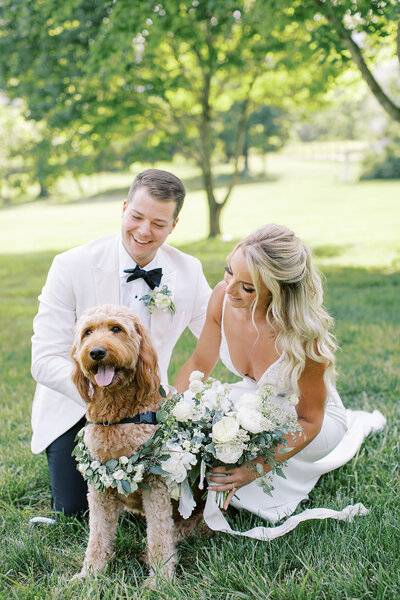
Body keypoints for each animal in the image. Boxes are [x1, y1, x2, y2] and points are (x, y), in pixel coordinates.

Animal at [70, 302, 183, 584]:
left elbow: (159, 535)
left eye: (116, 329)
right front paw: (90, 573)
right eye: (88, 332)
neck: (118, 415)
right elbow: (98, 535)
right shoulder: (99, 488)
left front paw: (160, 580)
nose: (96, 352)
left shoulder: (155, 485)